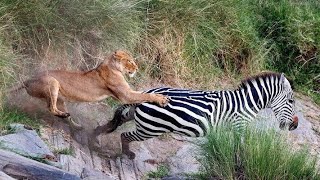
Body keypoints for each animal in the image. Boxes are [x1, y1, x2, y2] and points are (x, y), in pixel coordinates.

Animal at [94, 72, 298, 159]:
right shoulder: (239, 126)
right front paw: (240, 162)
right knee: (124, 135)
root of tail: (148, 92)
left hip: (136, 117)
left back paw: (94, 138)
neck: (245, 103)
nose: (295, 126)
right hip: (150, 129)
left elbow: (228, 148)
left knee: (114, 123)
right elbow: (239, 148)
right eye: (291, 101)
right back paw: (126, 154)